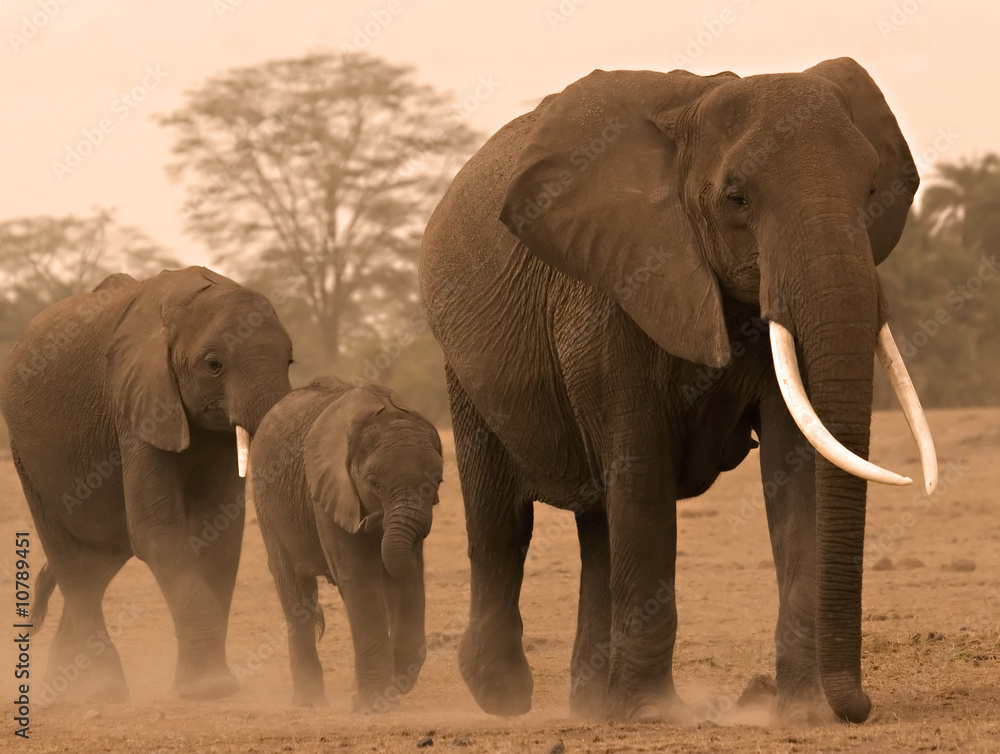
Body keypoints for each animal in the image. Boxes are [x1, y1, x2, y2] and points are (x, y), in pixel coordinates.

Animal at [0, 266, 293, 702]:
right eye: (213, 365)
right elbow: (156, 530)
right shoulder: (137, 400)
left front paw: (208, 685)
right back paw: (101, 691)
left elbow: (219, 535)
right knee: (72, 559)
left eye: (290, 360)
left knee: (99, 559)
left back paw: (65, 688)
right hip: (26, 456)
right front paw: (209, 689)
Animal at [248, 376, 443, 710]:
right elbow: (359, 578)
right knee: (295, 592)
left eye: (438, 483)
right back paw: (310, 702)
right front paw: (373, 705)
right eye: (373, 483)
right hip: (267, 505)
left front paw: (391, 687)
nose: (372, 521)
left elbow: (405, 577)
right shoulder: (328, 492)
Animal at [418, 58, 937, 723]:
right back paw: (503, 693)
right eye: (737, 199)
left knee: (597, 522)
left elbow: (794, 465)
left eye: (873, 191)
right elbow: (642, 472)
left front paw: (803, 711)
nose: (861, 706)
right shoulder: (610, 286)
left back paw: (590, 706)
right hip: (462, 361)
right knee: (502, 518)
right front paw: (650, 714)